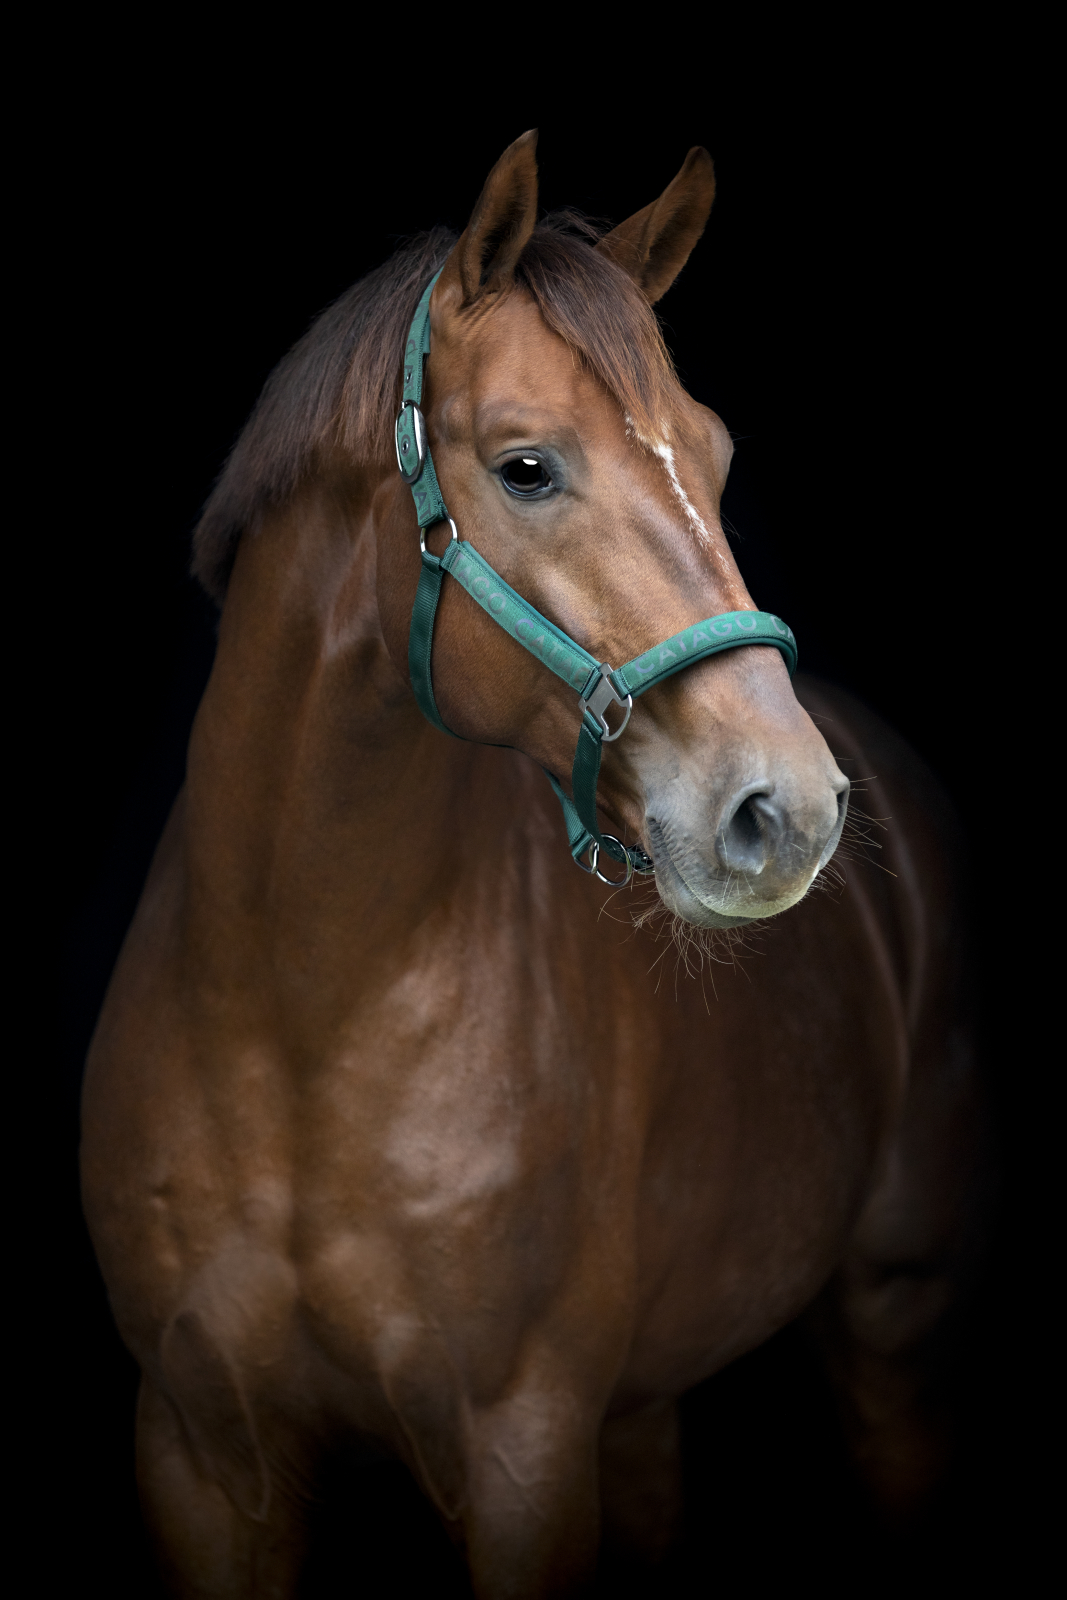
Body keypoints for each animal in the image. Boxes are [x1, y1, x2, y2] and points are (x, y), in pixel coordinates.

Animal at [81, 131, 983, 1597]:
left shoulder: (523, 1455)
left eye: (713, 457)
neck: (293, 1018)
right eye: (523, 467)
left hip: (894, 1330)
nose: (786, 807)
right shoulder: (202, 1454)